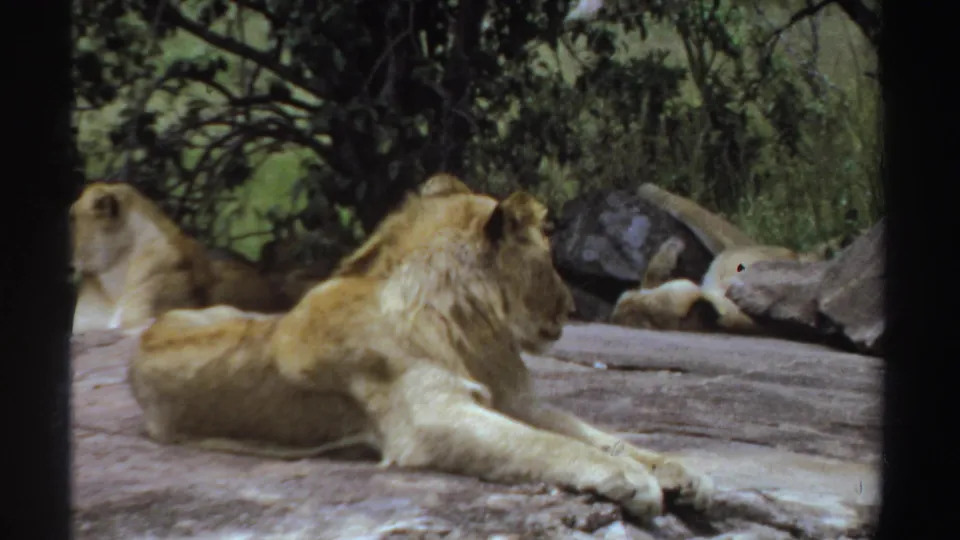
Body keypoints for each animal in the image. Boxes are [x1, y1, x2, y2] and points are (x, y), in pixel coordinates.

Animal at [128, 175, 713, 522]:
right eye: (550, 260)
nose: (572, 307)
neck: (471, 328)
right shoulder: (432, 417)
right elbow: (549, 446)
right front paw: (633, 481)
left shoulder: (515, 400)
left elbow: (599, 435)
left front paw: (679, 471)